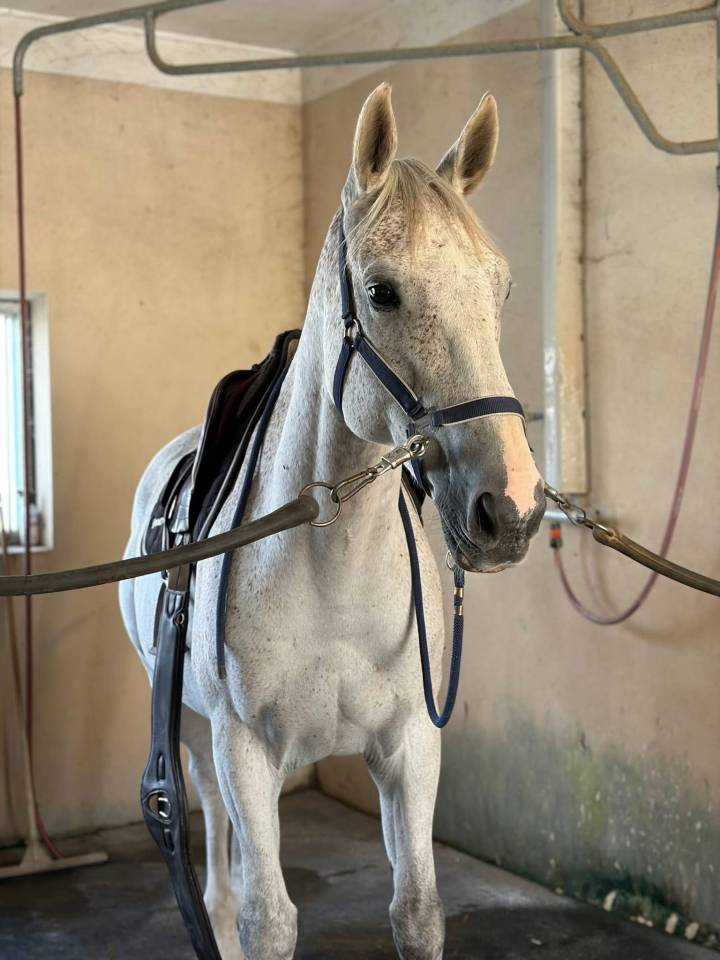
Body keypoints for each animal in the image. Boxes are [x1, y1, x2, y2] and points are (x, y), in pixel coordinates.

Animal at [119, 82, 545, 960]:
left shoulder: (411, 745)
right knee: (219, 857)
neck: (331, 561)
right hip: (191, 726)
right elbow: (266, 917)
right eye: (380, 291)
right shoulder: (243, 748)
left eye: (501, 289)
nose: (512, 508)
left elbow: (416, 908)